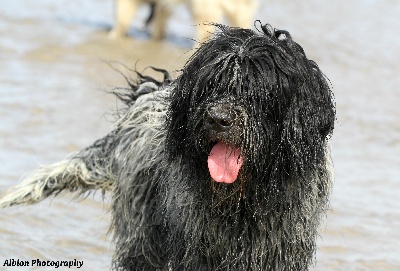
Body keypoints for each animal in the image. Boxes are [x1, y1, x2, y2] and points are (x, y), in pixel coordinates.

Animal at [0, 23, 334, 271]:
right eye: (211, 84)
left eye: (256, 90)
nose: (218, 118)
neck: (242, 200)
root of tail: (144, 99)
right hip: (142, 235)